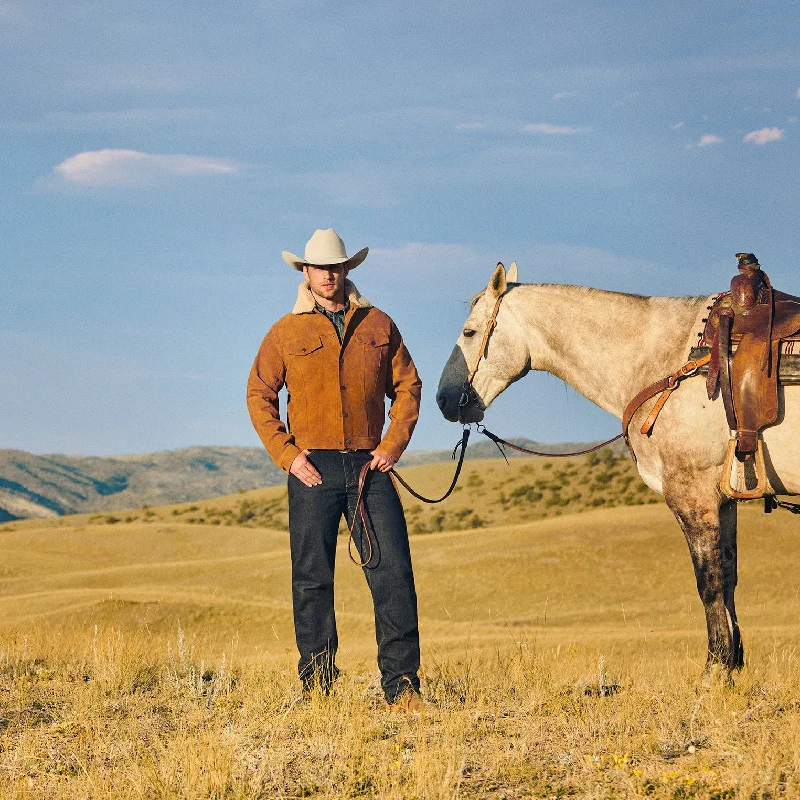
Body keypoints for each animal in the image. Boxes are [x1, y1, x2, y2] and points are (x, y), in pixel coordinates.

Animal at [438, 262, 800, 676]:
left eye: (469, 332)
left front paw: (715, 669)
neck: (669, 357)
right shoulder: (722, 501)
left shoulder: (693, 496)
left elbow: (708, 583)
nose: (444, 399)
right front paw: (731, 665)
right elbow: (728, 580)